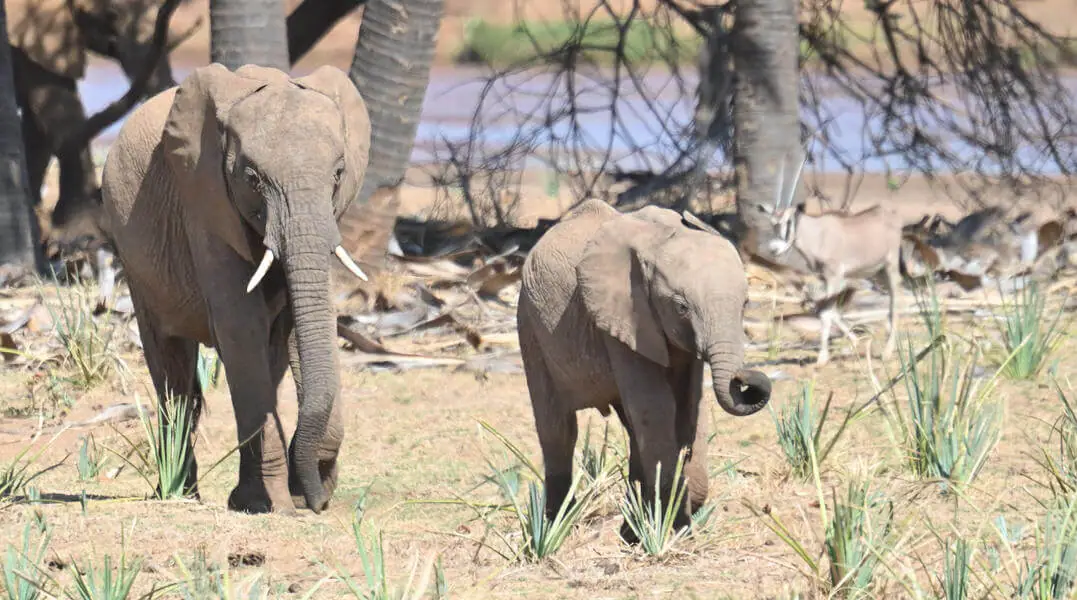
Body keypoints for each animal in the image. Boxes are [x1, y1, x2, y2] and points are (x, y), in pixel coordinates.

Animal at [101, 63, 370, 512]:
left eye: (338, 174)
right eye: (252, 178)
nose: (317, 500)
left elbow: (300, 327)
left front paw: (303, 486)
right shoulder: (204, 204)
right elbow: (239, 325)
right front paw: (276, 504)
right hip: (134, 262)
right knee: (172, 369)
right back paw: (180, 492)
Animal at [516, 199, 771, 540]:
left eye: (746, 304)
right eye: (681, 307)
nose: (745, 380)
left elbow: (689, 408)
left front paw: (673, 516)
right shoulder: (623, 317)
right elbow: (657, 406)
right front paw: (675, 527)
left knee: (630, 425)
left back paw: (632, 526)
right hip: (529, 324)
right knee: (559, 429)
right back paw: (556, 527)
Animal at [762, 154, 904, 361]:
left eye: (789, 221)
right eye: (773, 223)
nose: (773, 249)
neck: (817, 234)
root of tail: (888, 214)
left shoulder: (834, 277)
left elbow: (826, 313)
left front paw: (822, 357)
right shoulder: (825, 278)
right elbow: (826, 311)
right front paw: (853, 342)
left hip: (890, 266)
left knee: (895, 300)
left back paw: (887, 351)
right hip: (877, 272)